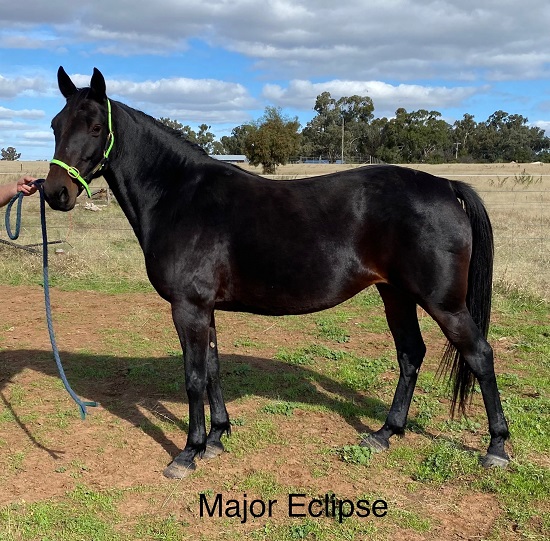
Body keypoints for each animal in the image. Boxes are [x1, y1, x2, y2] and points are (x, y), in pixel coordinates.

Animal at [43, 67, 510, 479]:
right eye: (54, 125)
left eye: (96, 127)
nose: (54, 193)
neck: (179, 197)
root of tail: (445, 185)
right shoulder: (205, 310)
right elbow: (212, 370)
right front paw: (217, 438)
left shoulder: (188, 308)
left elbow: (193, 377)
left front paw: (188, 453)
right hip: (395, 294)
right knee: (411, 353)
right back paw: (384, 433)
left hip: (443, 303)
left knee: (479, 355)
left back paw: (496, 448)